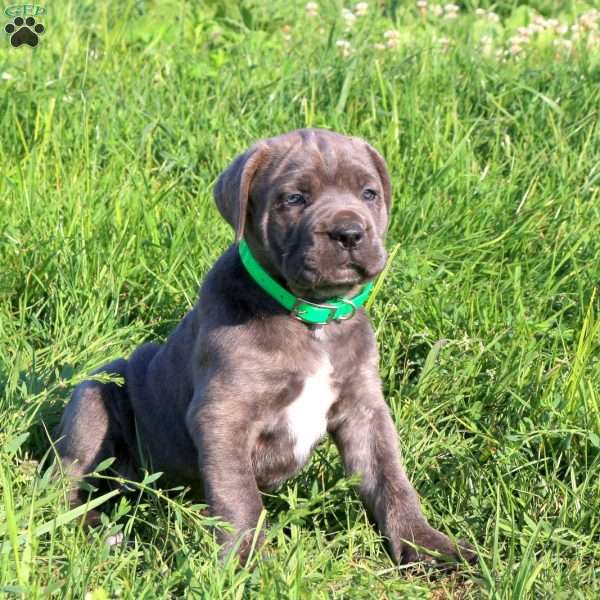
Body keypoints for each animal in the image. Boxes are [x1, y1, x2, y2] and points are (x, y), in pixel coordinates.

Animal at [57, 127, 478, 568]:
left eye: (369, 193)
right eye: (294, 199)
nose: (348, 232)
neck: (312, 317)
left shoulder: (364, 410)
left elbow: (391, 478)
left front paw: (424, 543)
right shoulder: (222, 414)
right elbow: (239, 494)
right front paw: (245, 561)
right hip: (95, 393)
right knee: (63, 483)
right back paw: (96, 533)